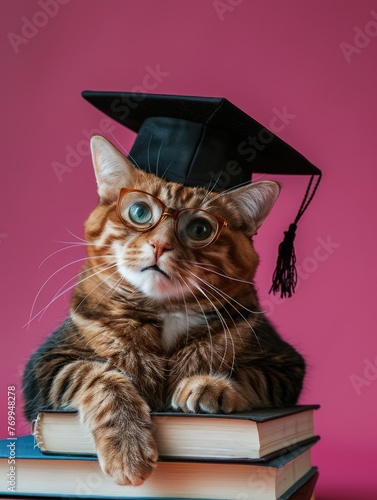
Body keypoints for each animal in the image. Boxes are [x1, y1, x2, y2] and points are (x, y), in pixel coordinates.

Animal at [21, 135, 306, 486]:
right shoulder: (46, 364)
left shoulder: (285, 363)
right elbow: (98, 377)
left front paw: (208, 385)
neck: (163, 311)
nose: (159, 245)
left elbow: (248, 373)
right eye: (140, 212)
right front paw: (128, 448)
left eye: (200, 230)